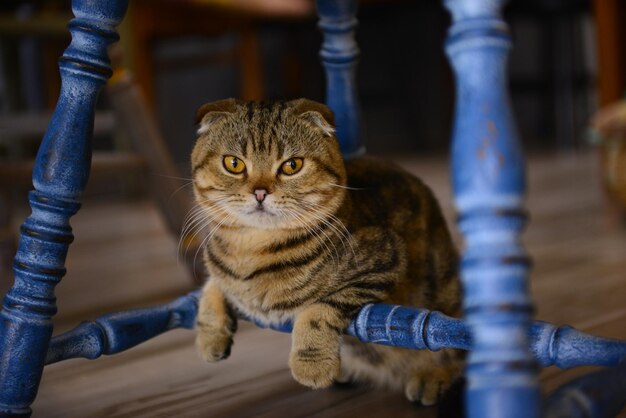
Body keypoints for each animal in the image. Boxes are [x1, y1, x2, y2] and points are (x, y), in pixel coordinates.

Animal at [191, 98, 464, 404]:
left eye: (292, 165)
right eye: (234, 163)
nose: (260, 192)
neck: (250, 251)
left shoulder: (385, 254)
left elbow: (319, 310)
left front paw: (311, 364)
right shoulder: (221, 272)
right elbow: (211, 285)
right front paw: (210, 337)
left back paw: (431, 376)